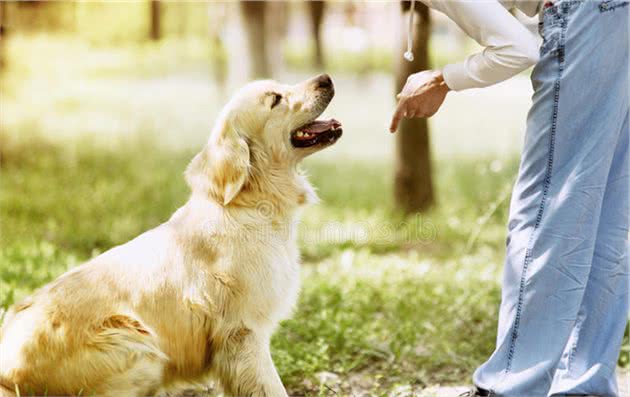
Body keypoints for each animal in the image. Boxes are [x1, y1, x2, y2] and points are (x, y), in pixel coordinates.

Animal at [0, 74, 344, 396]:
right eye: (275, 99)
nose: (325, 78)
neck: (249, 204)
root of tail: (8, 372)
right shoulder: (243, 333)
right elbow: (272, 386)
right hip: (140, 347)